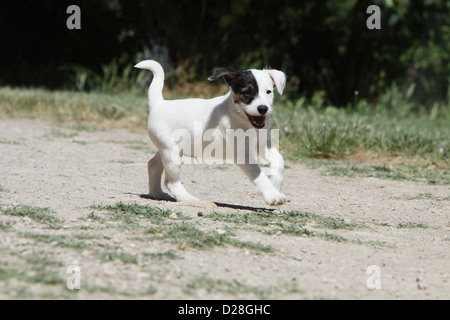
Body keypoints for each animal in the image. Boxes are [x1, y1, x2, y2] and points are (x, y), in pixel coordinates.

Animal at [135, 59, 286, 205]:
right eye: (246, 92)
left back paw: (157, 194)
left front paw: (276, 184)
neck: (237, 115)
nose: (263, 108)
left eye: (268, 92)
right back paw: (187, 198)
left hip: (169, 149)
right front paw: (273, 195)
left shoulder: (263, 144)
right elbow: (259, 175)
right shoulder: (243, 154)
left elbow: (279, 159)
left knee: (153, 165)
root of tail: (159, 103)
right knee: (171, 182)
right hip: (171, 152)